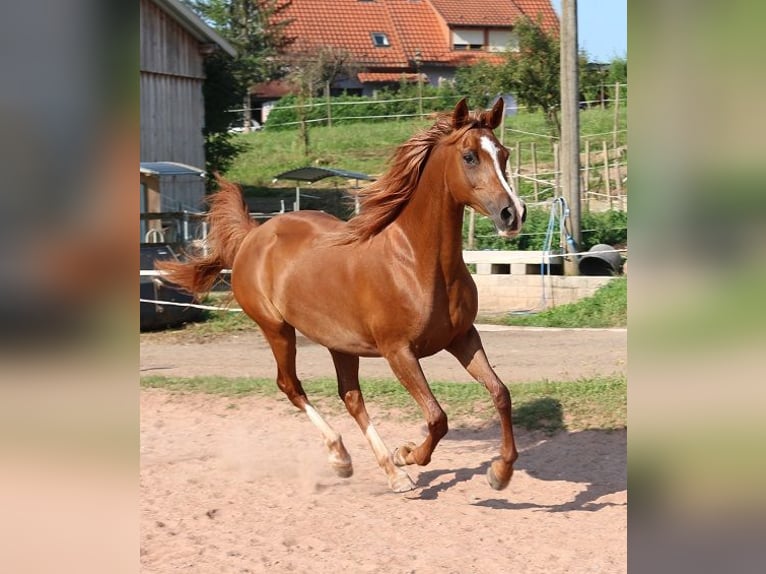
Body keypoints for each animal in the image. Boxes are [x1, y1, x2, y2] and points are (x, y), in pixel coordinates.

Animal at [158, 99, 528, 496]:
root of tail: (253, 235)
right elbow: (437, 417)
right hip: (277, 329)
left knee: (351, 398)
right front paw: (406, 454)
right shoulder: (399, 352)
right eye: (469, 156)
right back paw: (344, 457)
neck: (415, 262)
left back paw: (389, 474)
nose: (513, 213)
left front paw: (500, 472)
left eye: (504, 154)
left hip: (341, 344)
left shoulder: (462, 337)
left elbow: (501, 393)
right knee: (291, 386)